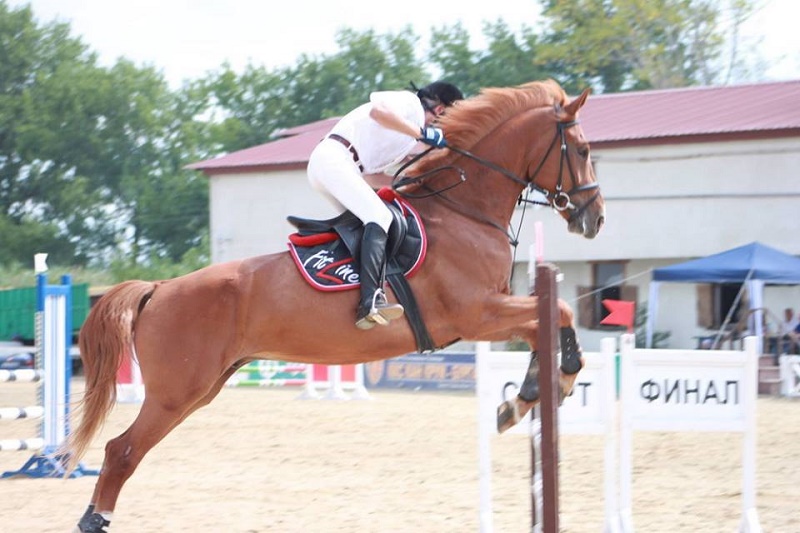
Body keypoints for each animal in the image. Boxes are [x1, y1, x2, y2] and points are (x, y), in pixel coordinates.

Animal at [65, 80, 604, 532]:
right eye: (582, 150)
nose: (594, 219)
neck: (464, 211)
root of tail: (159, 287)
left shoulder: (489, 312)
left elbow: (548, 322)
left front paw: (524, 398)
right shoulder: (477, 314)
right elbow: (558, 314)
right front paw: (554, 382)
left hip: (202, 388)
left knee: (125, 449)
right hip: (175, 393)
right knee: (121, 451)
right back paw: (95, 520)